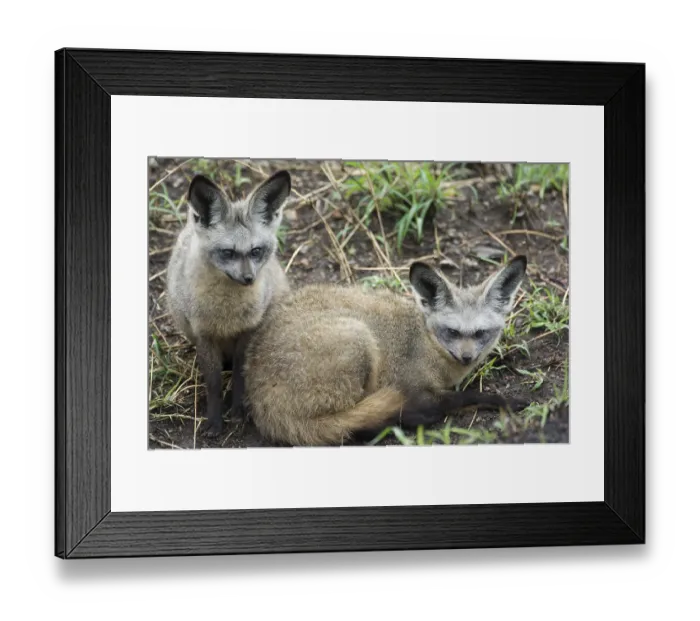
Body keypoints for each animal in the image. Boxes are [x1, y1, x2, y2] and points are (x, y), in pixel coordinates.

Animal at [166, 170, 292, 436]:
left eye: (256, 251)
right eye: (228, 253)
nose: (248, 278)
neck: (227, 315)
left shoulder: (248, 331)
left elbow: (239, 375)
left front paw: (238, 411)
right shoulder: (204, 334)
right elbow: (213, 384)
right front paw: (214, 420)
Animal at [243, 255, 529, 446]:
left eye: (481, 333)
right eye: (452, 332)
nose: (467, 357)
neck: (426, 341)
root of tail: (260, 401)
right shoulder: (415, 387)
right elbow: (460, 398)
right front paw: (506, 401)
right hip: (360, 340)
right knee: (356, 423)